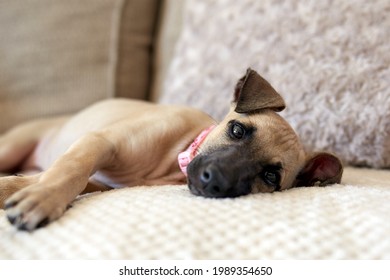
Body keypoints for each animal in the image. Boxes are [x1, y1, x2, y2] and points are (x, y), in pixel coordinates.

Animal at [0, 68, 342, 230]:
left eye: (271, 177)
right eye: (237, 130)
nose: (214, 181)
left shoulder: (100, 180)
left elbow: (63, 175)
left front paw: (24, 190)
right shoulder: (97, 142)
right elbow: (69, 170)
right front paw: (41, 198)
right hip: (11, 146)